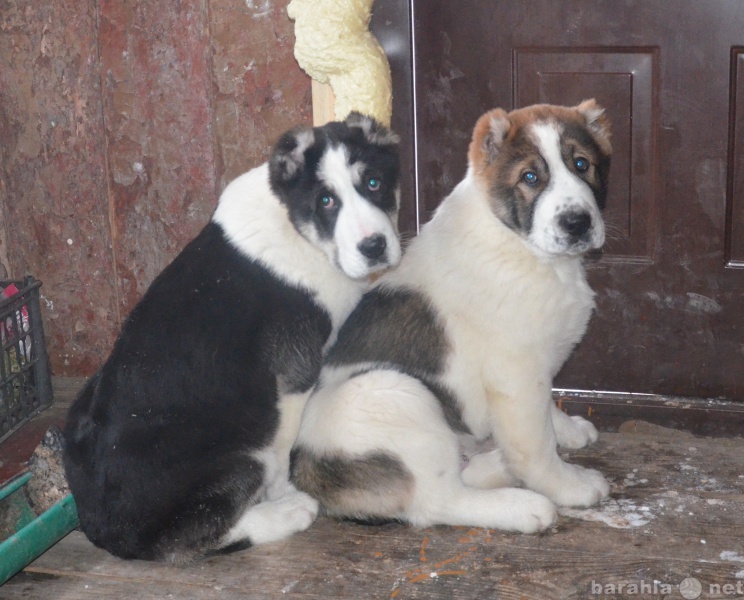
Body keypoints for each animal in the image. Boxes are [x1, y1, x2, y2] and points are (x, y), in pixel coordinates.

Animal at [63, 112, 402, 564]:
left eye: (374, 183)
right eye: (326, 202)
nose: (374, 246)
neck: (294, 225)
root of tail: (102, 532)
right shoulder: (295, 375)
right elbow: (284, 445)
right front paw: (285, 490)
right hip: (242, 459)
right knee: (193, 538)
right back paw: (287, 512)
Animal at [290, 101, 612, 532]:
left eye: (582, 164)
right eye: (530, 177)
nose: (577, 222)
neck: (519, 245)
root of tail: (304, 472)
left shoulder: (536, 370)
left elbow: (546, 410)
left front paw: (568, 429)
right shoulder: (517, 376)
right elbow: (535, 445)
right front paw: (569, 485)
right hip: (395, 393)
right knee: (438, 501)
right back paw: (522, 505)